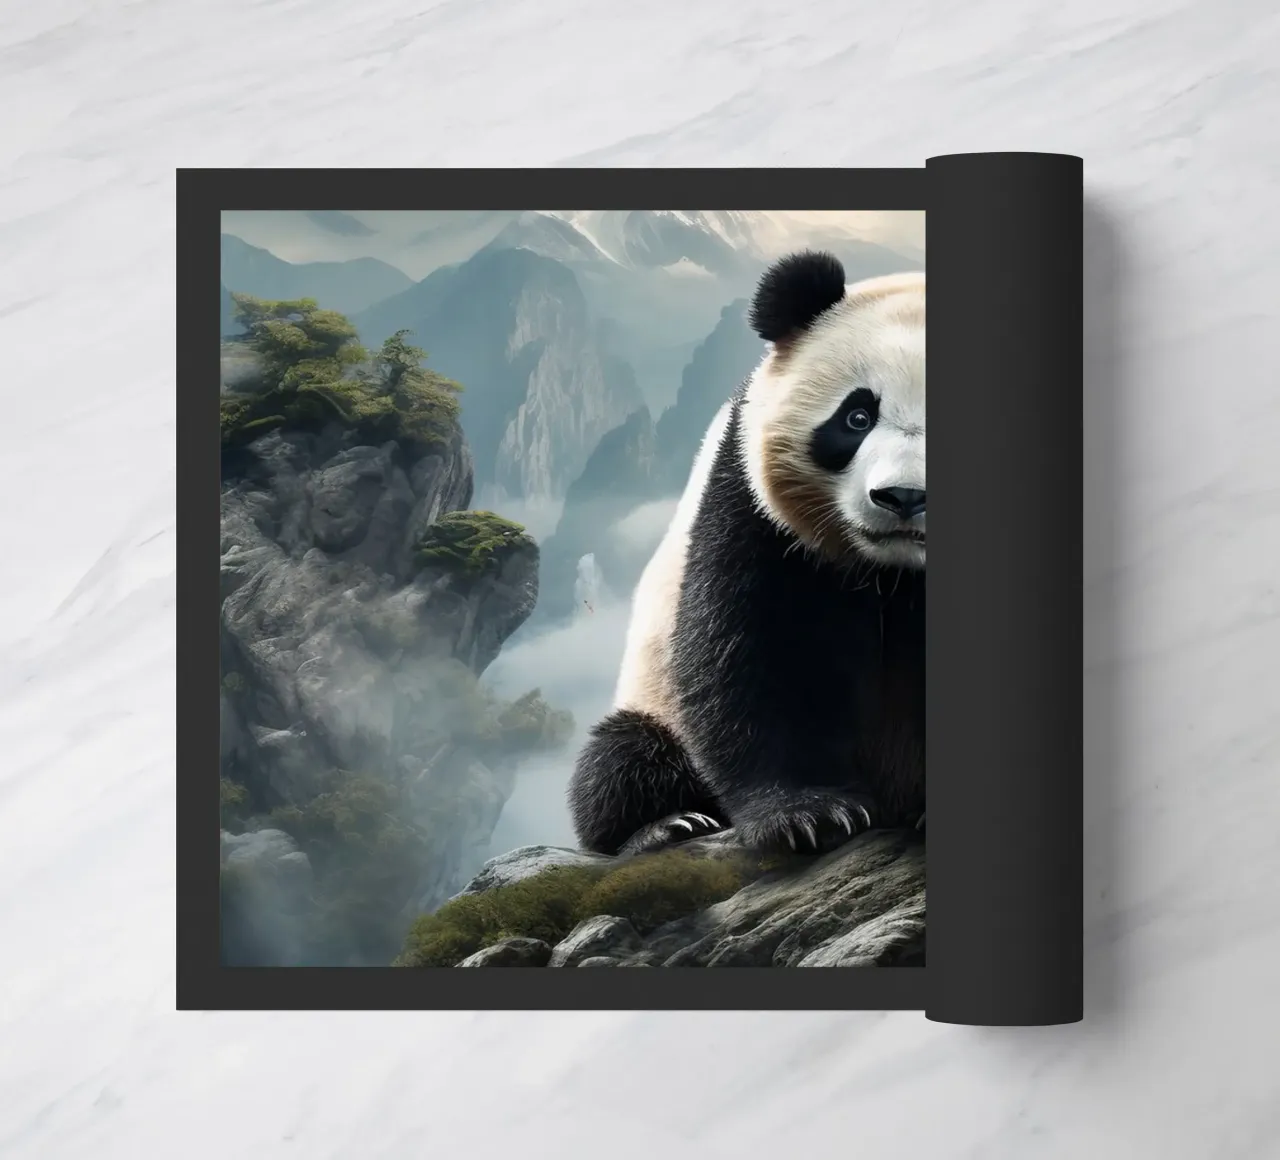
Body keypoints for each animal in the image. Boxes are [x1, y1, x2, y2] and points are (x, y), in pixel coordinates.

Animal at [566, 250, 926, 858]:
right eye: (857, 417)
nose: (902, 497)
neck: (893, 574)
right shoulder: (756, 504)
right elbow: (751, 646)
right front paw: (806, 814)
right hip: (654, 703)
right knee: (622, 760)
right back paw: (663, 826)